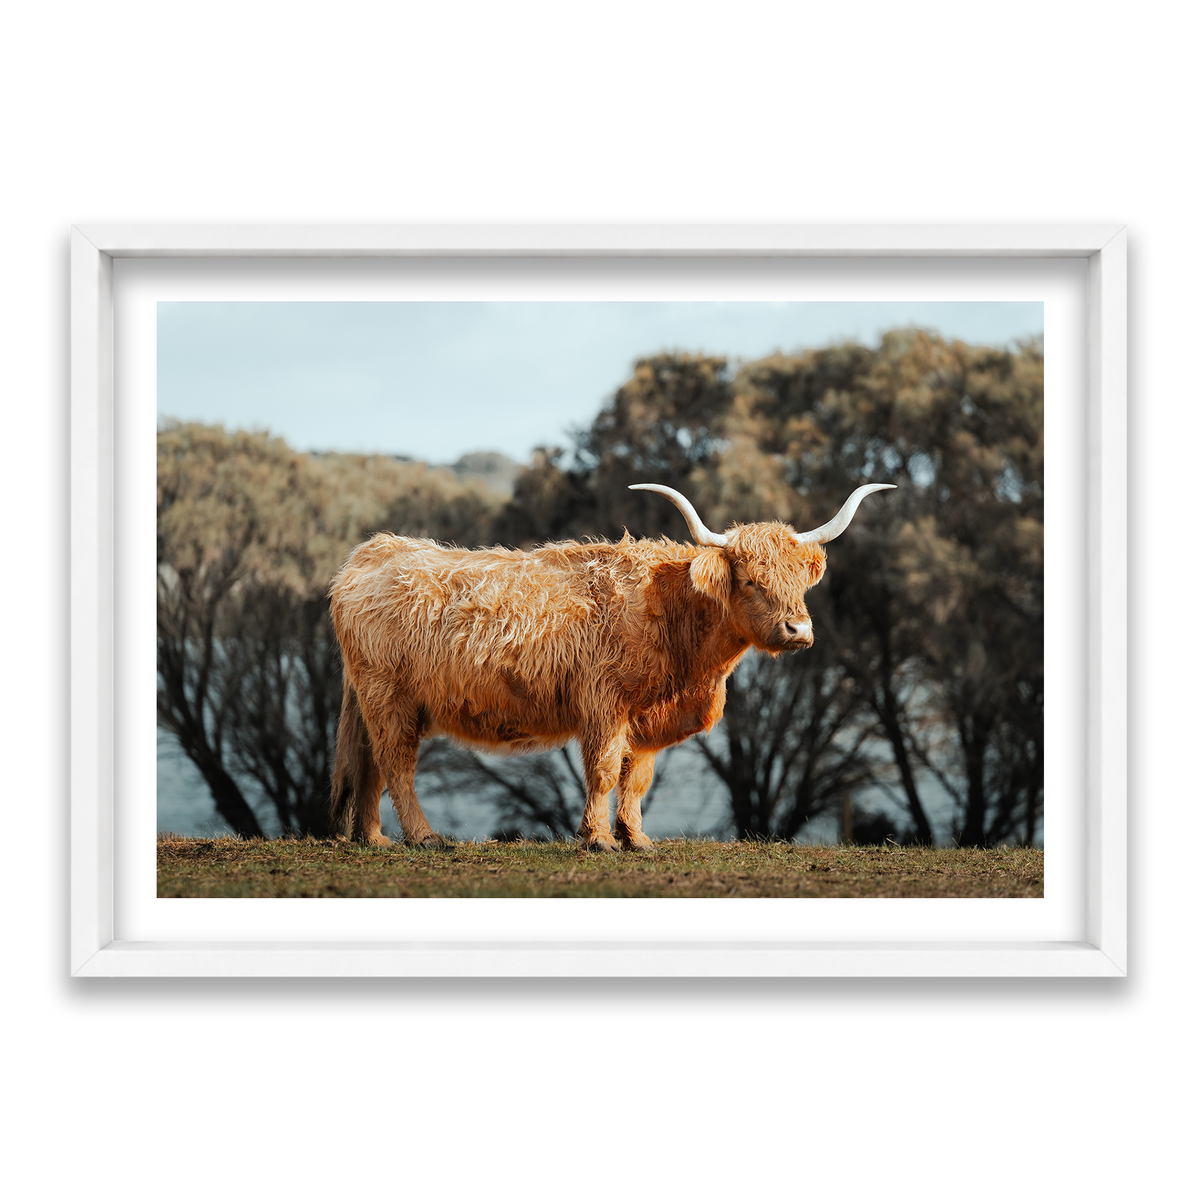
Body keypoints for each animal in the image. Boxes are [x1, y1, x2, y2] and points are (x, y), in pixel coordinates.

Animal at [329, 482, 894, 851]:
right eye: (752, 581)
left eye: (799, 580)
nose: (798, 630)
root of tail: (372, 551)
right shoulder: (604, 703)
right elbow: (602, 771)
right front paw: (598, 839)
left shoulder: (646, 717)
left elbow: (636, 777)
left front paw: (636, 838)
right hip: (389, 697)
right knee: (396, 764)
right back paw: (424, 837)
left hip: (376, 701)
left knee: (371, 764)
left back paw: (374, 839)